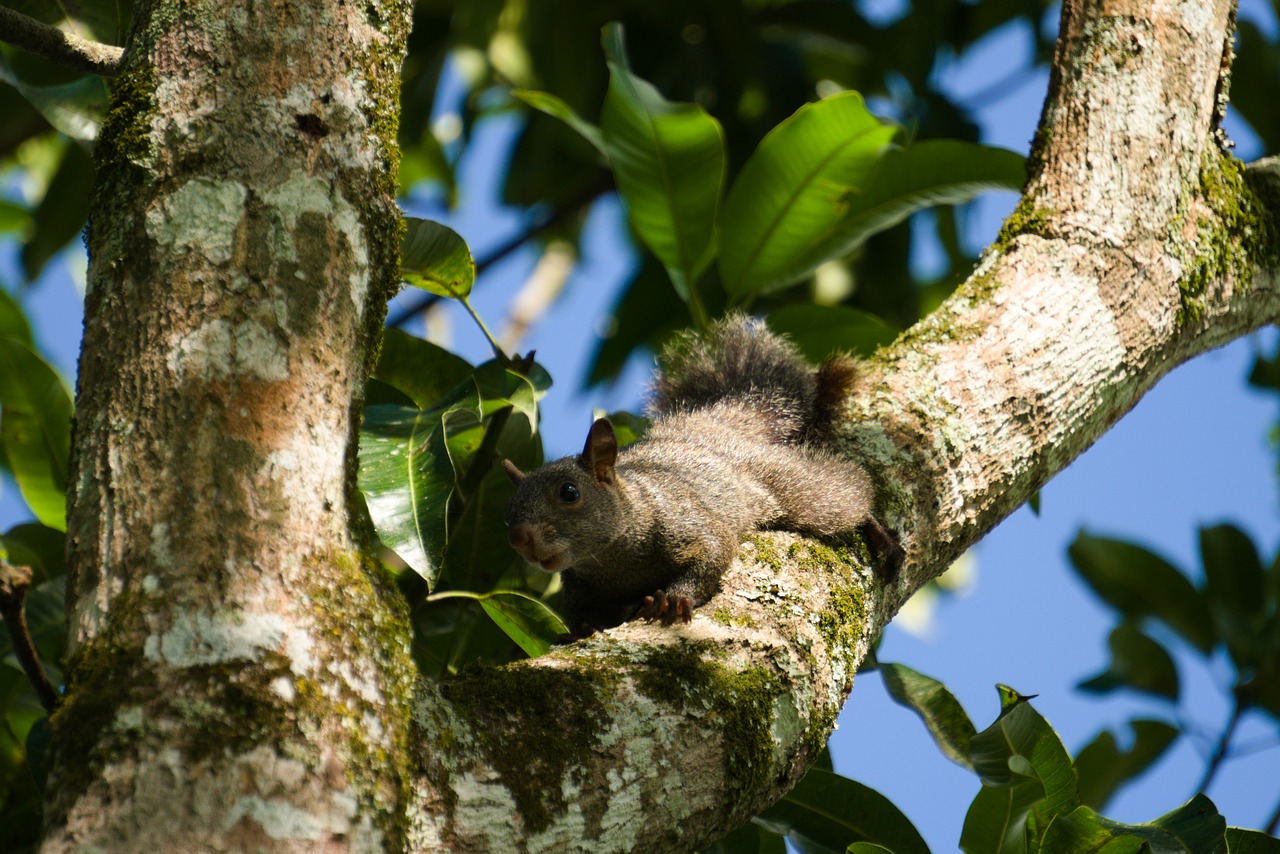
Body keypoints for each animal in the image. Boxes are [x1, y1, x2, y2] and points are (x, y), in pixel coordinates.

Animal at [499, 311, 901, 632]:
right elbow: (581, 616)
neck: (613, 560)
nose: (518, 537)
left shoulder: (687, 520)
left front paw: (674, 598)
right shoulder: (579, 587)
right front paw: (581, 630)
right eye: (507, 512)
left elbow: (712, 551)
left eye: (569, 492)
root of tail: (716, 423)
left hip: (788, 483)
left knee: (842, 492)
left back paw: (878, 531)